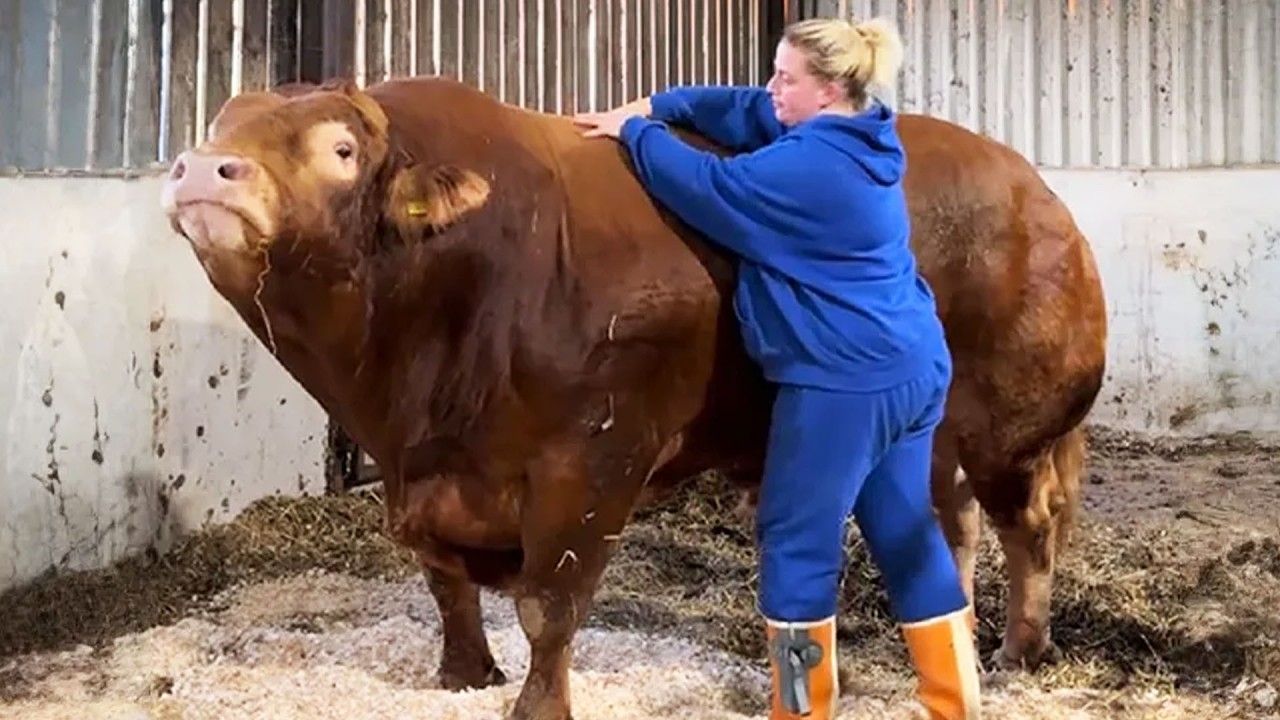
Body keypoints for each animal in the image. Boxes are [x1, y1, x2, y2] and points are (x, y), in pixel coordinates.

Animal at [159, 75, 1107, 719]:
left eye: (341, 149)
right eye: (217, 125)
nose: (203, 169)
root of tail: (1035, 188)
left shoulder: (593, 464)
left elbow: (549, 604)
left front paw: (537, 706)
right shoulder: (416, 476)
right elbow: (446, 585)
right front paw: (461, 676)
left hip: (1006, 428)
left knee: (1027, 525)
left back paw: (1020, 651)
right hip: (938, 439)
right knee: (950, 526)